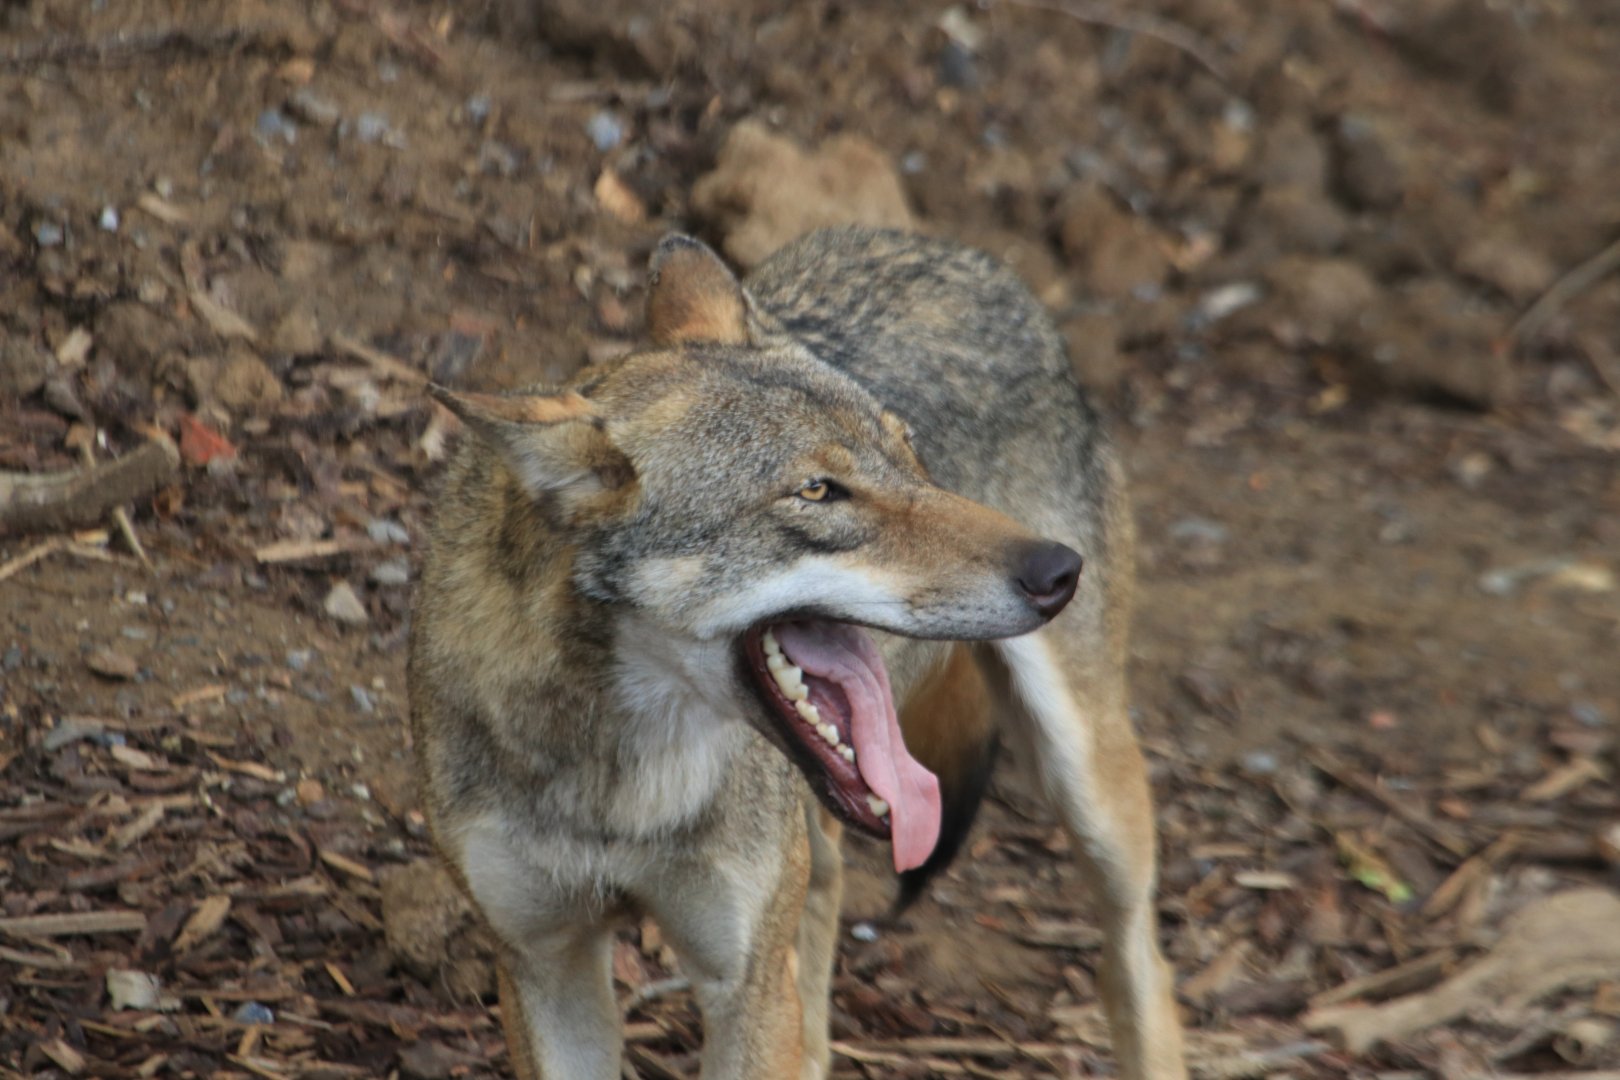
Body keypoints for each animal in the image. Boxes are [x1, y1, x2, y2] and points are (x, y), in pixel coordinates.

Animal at [408, 226, 1186, 1078]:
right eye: (817, 492)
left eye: (908, 455)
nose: (1058, 571)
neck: (620, 779)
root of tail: (950, 247)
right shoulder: (545, 966)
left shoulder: (744, 979)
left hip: (1089, 787)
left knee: (1141, 964)